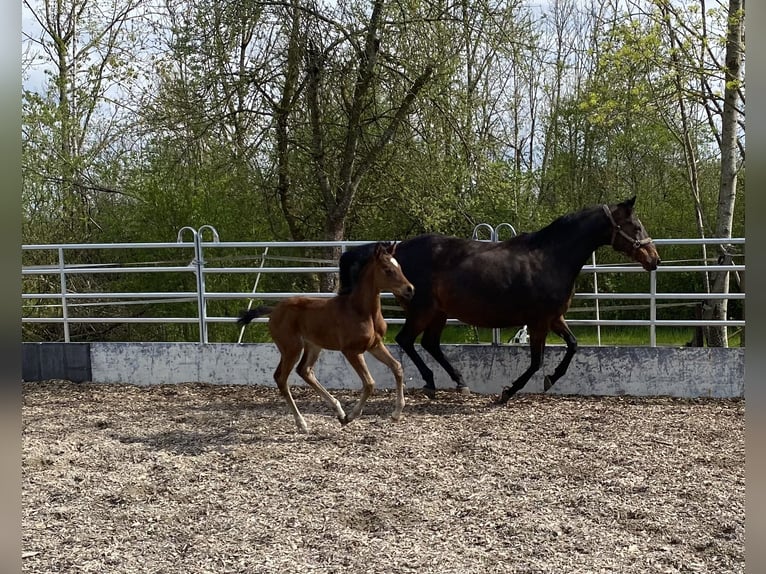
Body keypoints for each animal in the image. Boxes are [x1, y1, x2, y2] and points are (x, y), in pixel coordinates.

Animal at [340, 198, 664, 404]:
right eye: (636, 226)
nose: (655, 260)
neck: (552, 256)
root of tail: (396, 252)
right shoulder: (538, 322)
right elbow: (536, 361)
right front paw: (508, 392)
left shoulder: (554, 318)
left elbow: (573, 346)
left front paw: (551, 379)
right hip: (422, 310)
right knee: (406, 340)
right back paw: (432, 383)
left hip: (439, 313)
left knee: (429, 343)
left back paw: (459, 383)